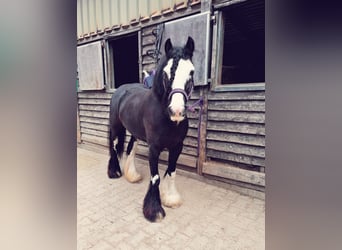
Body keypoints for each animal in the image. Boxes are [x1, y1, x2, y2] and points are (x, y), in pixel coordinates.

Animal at [107, 36, 195, 222]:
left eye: (191, 72)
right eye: (166, 73)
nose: (177, 111)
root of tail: (121, 90)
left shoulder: (177, 147)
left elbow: (172, 172)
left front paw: (171, 198)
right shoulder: (154, 148)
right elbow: (155, 177)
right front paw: (154, 210)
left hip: (134, 132)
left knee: (130, 149)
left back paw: (132, 175)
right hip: (115, 127)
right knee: (114, 146)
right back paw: (115, 172)